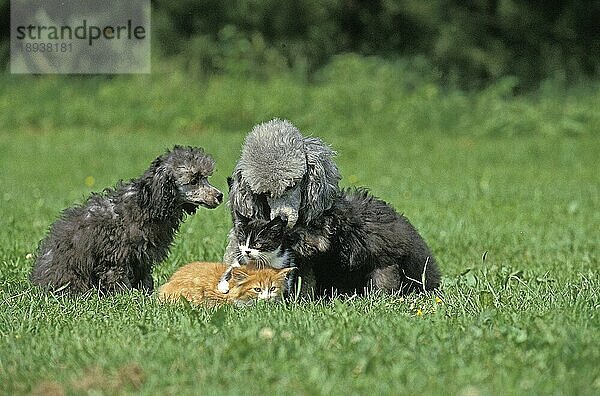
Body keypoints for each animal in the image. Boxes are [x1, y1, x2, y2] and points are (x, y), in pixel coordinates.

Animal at [30, 145, 223, 294]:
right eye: (194, 180)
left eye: (206, 178)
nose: (220, 195)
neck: (148, 204)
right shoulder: (116, 259)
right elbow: (120, 284)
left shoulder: (142, 258)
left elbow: (145, 281)